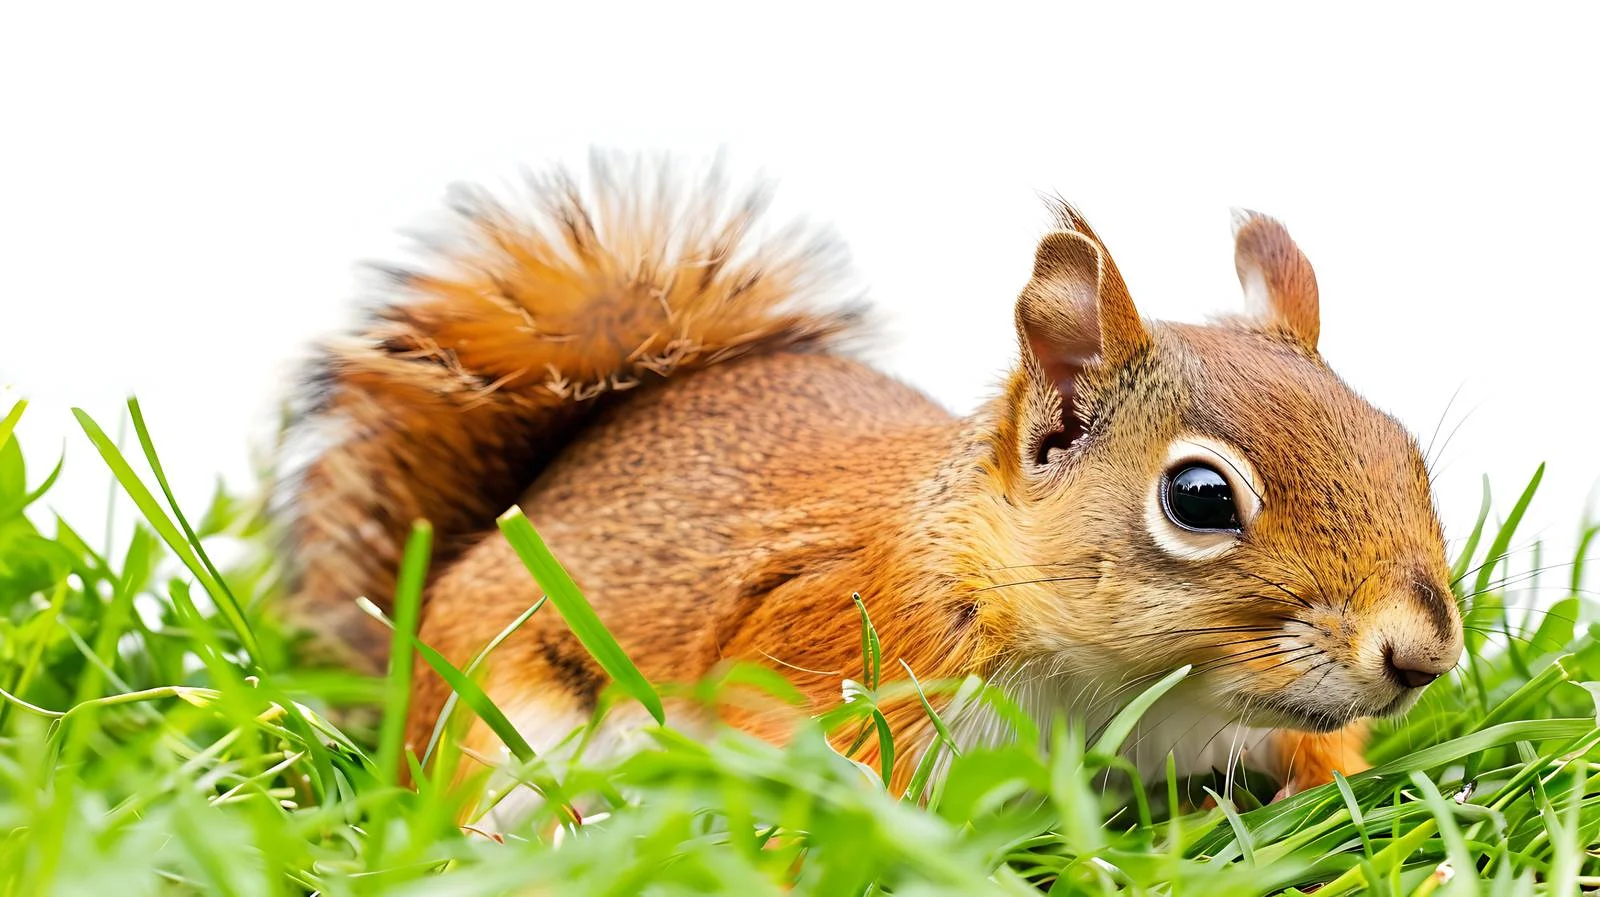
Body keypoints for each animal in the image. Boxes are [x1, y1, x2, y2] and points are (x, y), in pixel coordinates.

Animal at [278, 155, 1463, 809]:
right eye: (1201, 500)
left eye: (1405, 449)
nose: (1420, 656)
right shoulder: (832, 645)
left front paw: (1347, 783)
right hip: (498, 716)